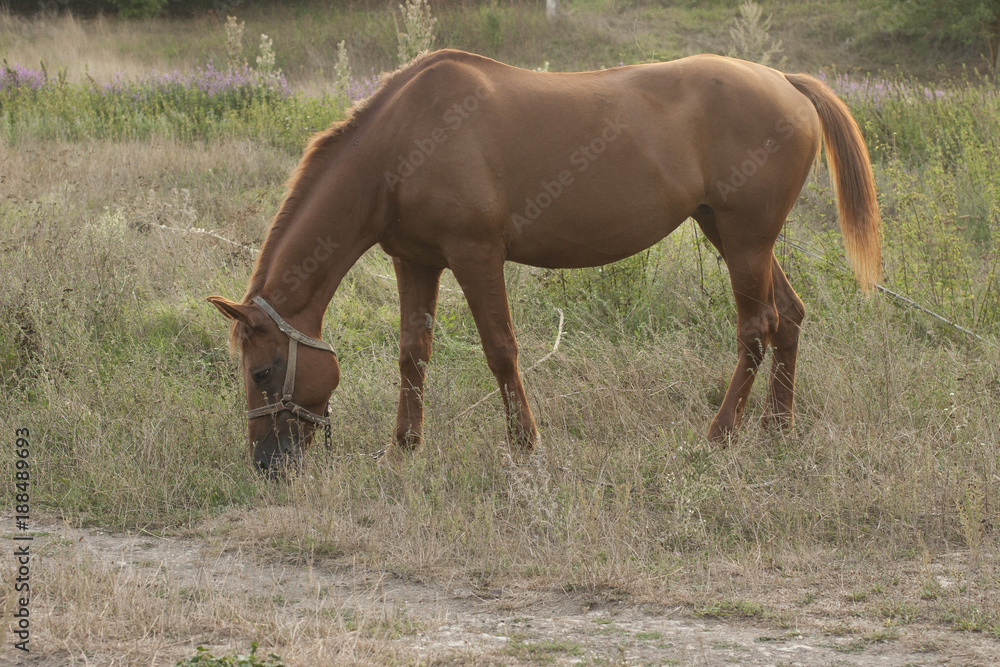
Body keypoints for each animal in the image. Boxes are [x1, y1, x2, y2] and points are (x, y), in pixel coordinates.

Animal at [208, 49, 880, 475]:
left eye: (262, 372)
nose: (267, 466)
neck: (403, 142)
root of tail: (786, 81)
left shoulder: (476, 255)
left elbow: (500, 348)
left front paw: (525, 446)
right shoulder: (415, 262)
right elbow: (412, 354)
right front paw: (403, 449)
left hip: (743, 243)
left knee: (757, 328)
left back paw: (718, 437)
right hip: (735, 235)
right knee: (790, 317)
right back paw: (776, 430)